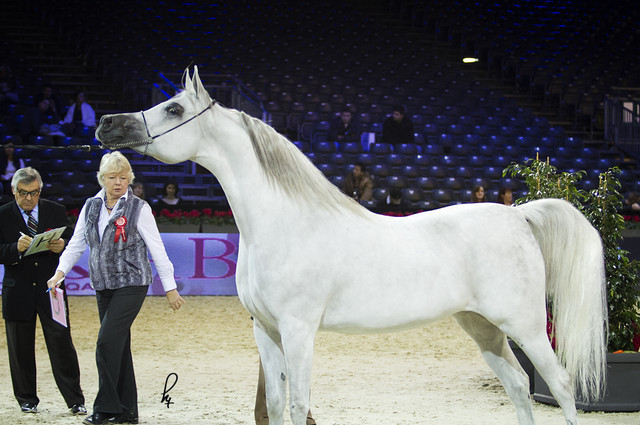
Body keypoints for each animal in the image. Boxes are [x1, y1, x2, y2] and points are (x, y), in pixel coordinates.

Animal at [95, 67, 608, 425]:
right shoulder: (266, 331)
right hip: (482, 326)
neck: (283, 224)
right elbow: (276, 404)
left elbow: (299, 404)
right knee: (520, 386)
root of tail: (518, 214)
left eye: (175, 109)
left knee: (560, 384)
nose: (106, 123)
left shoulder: (299, 330)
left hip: (525, 325)